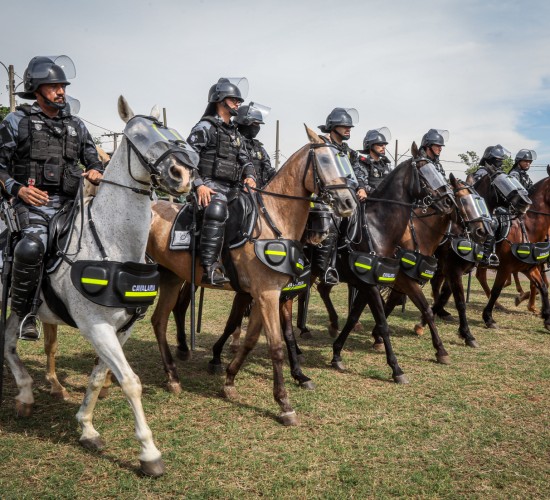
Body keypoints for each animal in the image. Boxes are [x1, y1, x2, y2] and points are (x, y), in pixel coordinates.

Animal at [1, 96, 196, 476]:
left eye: (167, 129)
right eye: (138, 135)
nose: (182, 175)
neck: (113, 244)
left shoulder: (122, 329)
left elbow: (97, 377)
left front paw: (87, 428)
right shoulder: (96, 326)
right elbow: (131, 382)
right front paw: (149, 453)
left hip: (20, 307)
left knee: (9, 341)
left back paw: (30, 393)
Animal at [146, 126, 358, 426]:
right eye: (326, 160)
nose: (349, 202)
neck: (273, 220)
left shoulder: (263, 295)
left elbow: (249, 341)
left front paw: (229, 381)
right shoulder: (267, 295)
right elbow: (276, 346)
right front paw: (284, 404)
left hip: (172, 278)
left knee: (159, 320)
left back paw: (173, 376)